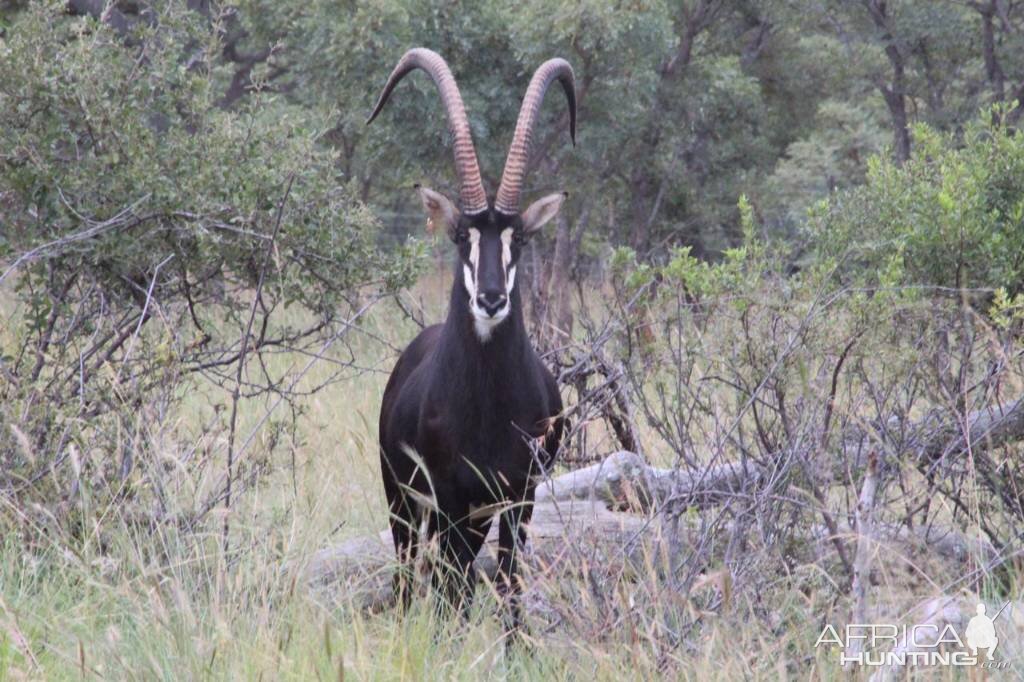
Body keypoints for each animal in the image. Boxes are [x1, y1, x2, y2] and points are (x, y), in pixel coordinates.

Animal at [370, 50, 577, 634]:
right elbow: (448, 592)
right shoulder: (448, 497)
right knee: (411, 574)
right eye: (463, 235)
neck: (485, 404)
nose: (489, 299)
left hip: (475, 516)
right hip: (403, 500)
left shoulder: (518, 498)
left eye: (518, 237)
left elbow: (508, 585)